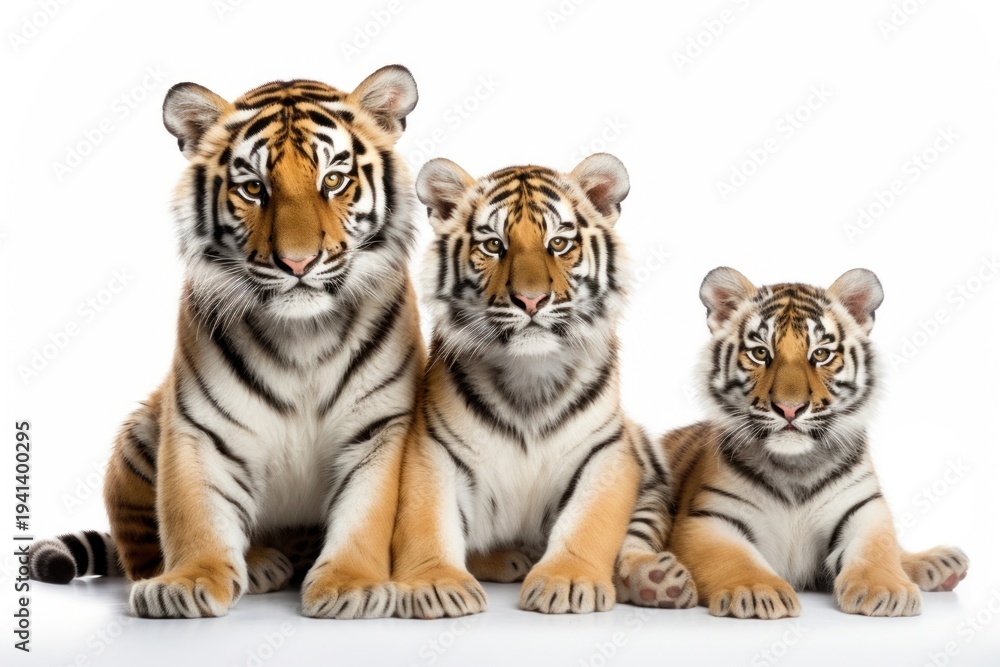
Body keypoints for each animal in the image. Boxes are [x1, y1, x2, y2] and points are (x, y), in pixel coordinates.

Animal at [28, 66, 426, 619]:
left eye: (333, 180)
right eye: (254, 188)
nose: (298, 262)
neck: (304, 334)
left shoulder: (378, 428)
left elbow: (366, 513)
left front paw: (353, 585)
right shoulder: (199, 427)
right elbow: (194, 510)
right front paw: (188, 582)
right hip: (140, 432)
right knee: (138, 552)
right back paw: (254, 564)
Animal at [387, 153, 696, 618]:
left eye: (559, 244)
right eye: (493, 246)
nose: (531, 300)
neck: (529, 376)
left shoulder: (606, 452)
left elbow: (587, 521)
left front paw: (565, 582)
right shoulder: (434, 450)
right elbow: (428, 520)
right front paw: (438, 584)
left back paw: (656, 580)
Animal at [634, 266, 969, 619]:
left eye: (820, 354)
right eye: (760, 353)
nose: (789, 408)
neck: (795, 466)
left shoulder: (865, 510)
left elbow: (877, 550)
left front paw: (886, 591)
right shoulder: (707, 520)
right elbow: (734, 558)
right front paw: (758, 591)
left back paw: (938, 563)